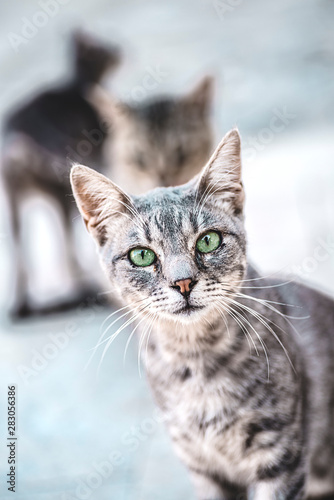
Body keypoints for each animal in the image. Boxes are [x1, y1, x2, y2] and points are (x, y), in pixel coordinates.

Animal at [1, 31, 120, 318]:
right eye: (106, 45)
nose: (122, 49)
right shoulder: (101, 155)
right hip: (59, 188)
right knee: (67, 243)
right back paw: (84, 289)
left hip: (15, 202)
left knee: (21, 250)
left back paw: (23, 306)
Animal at [70, 130, 334, 500]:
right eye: (141, 255)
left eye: (208, 240)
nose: (183, 282)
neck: (196, 360)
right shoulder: (201, 465)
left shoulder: (281, 454)